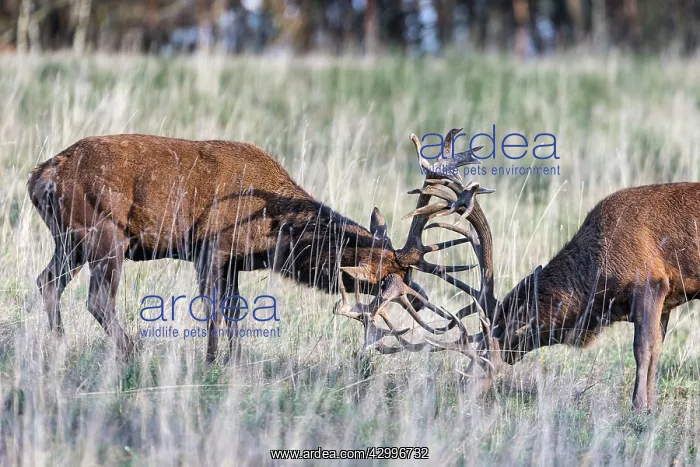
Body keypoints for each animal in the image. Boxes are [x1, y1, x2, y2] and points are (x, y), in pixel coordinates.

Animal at [27, 130, 481, 364]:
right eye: (391, 275)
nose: (418, 299)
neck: (273, 232)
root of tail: (38, 177)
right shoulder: (208, 249)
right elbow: (211, 311)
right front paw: (211, 362)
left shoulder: (234, 263)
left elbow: (235, 312)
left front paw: (235, 360)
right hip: (102, 234)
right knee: (97, 298)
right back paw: (133, 351)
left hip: (69, 241)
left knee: (46, 281)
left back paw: (59, 347)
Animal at [345, 135, 700, 413]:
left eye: (482, 357)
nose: (461, 393)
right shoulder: (667, 298)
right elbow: (656, 352)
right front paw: (650, 406)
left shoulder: (650, 282)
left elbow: (643, 350)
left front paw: (640, 409)